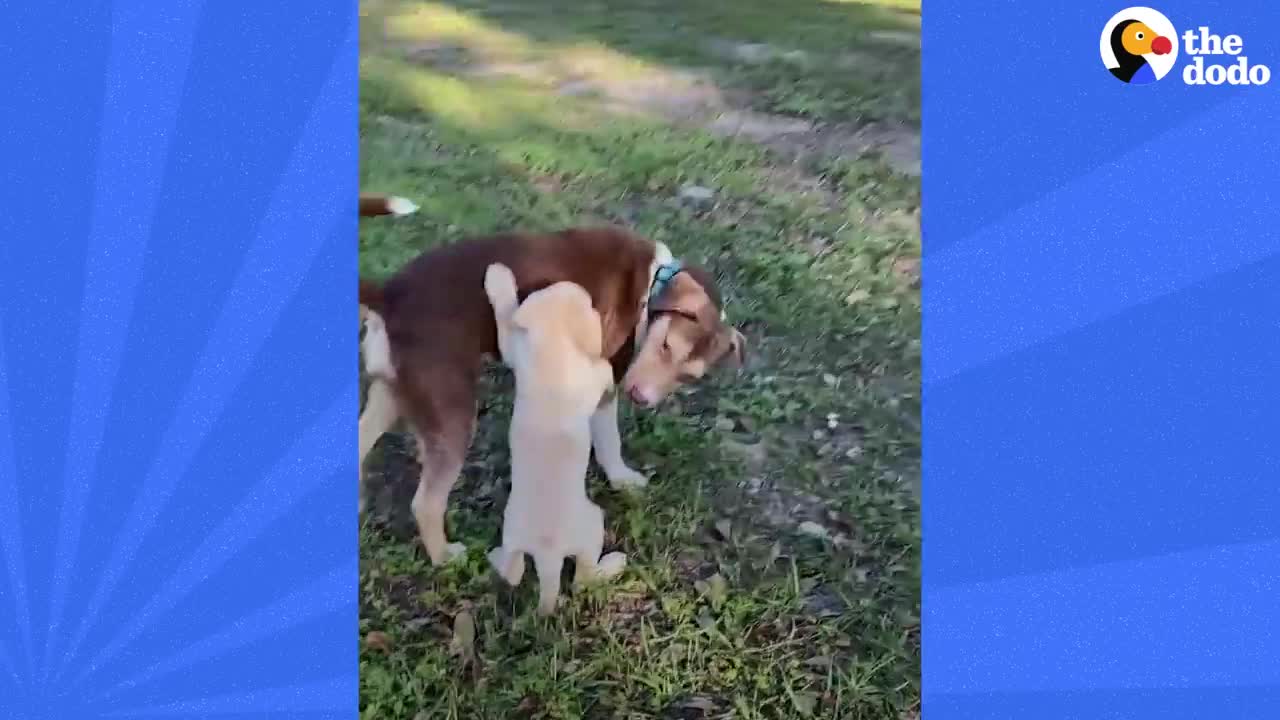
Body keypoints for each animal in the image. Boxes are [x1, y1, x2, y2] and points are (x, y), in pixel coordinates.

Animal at [358, 221, 742, 563]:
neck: (655, 282)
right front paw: (621, 478)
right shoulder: (605, 384)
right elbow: (609, 440)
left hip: (390, 393)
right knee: (426, 503)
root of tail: (388, 297)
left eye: (687, 376)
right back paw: (444, 557)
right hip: (452, 412)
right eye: (665, 346)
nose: (641, 397)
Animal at [481, 260, 627, 614]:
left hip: (512, 535)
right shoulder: (589, 376)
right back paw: (613, 565)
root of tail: (547, 559)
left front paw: (498, 278)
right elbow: (601, 370)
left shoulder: (515, 349)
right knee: (583, 579)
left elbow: (506, 318)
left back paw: (497, 558)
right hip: (593, 524)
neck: (553, 343)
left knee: (513, 573)